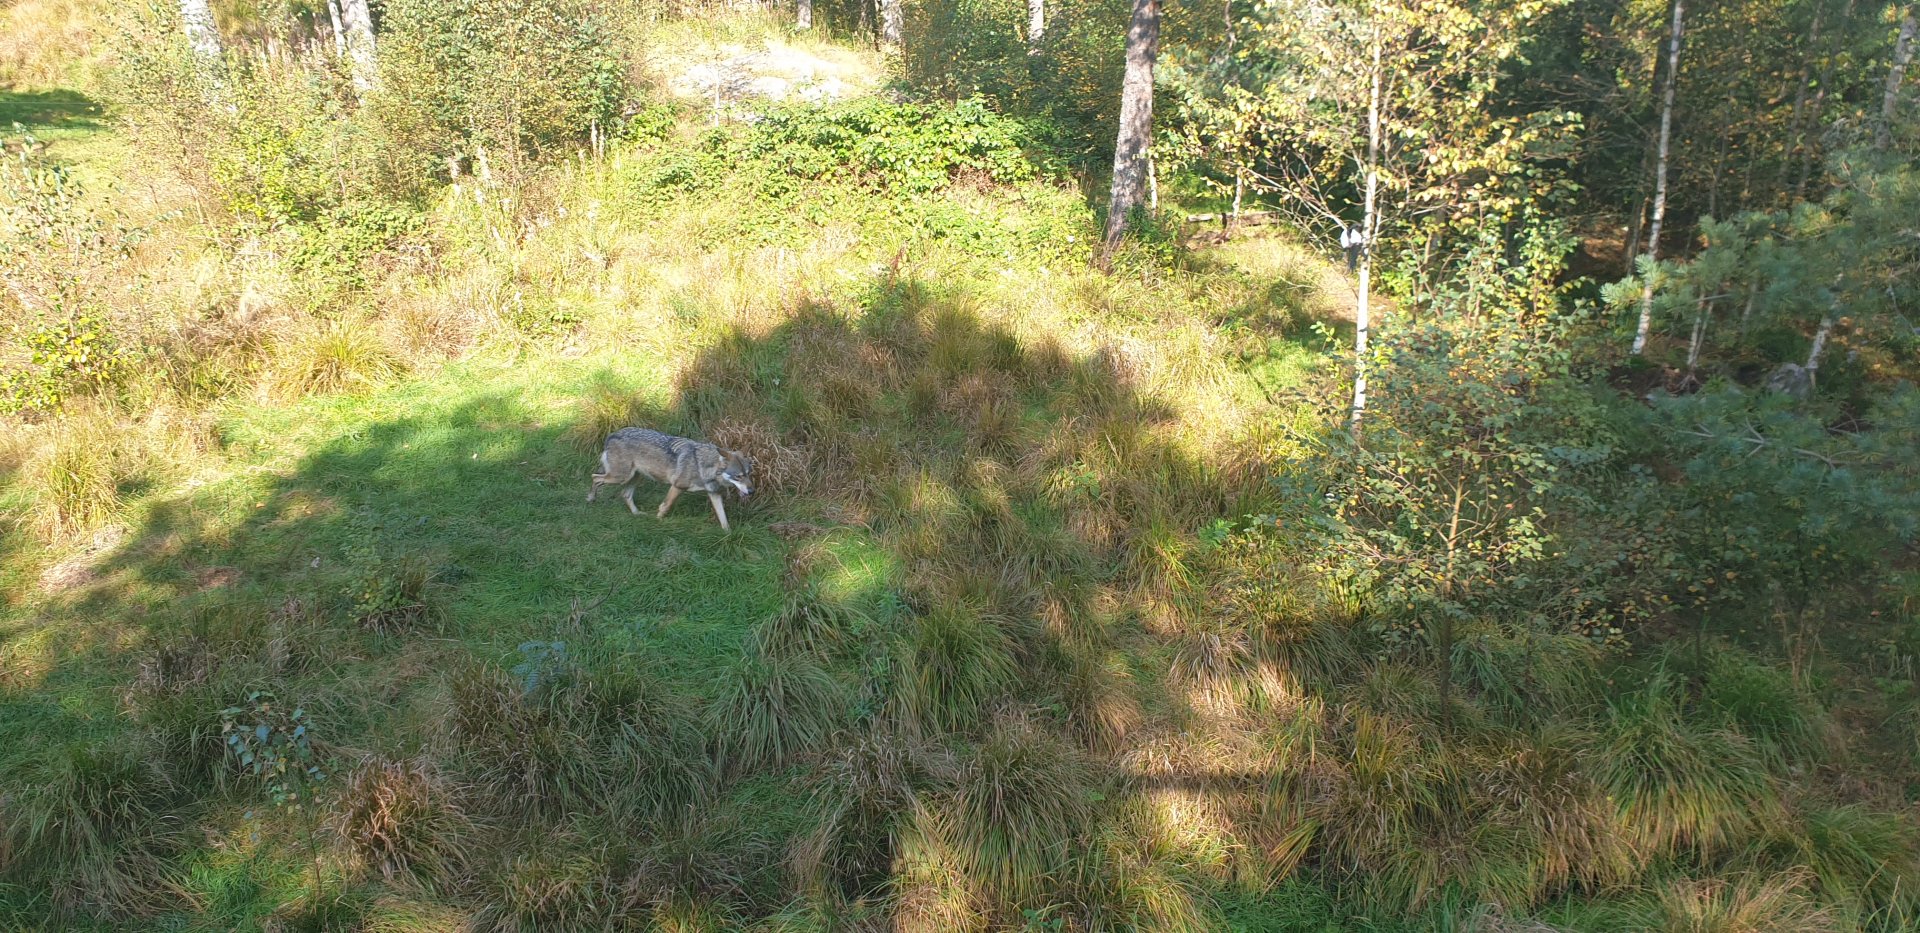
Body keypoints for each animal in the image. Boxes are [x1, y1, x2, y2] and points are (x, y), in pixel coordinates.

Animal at [587, 428, 754, 532]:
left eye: (748, 473)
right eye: (738, 476)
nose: (752, 491)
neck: (701, 465)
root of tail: (612, 435)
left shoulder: (714, 494)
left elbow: (723, 519)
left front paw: (728, 534)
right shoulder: (677, 487)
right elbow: (665, 507)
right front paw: (657, 522)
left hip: (635, 477)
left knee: (625, 494)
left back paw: (637, 514)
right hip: (621, 477)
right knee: (595, 477)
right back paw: (590, 498)